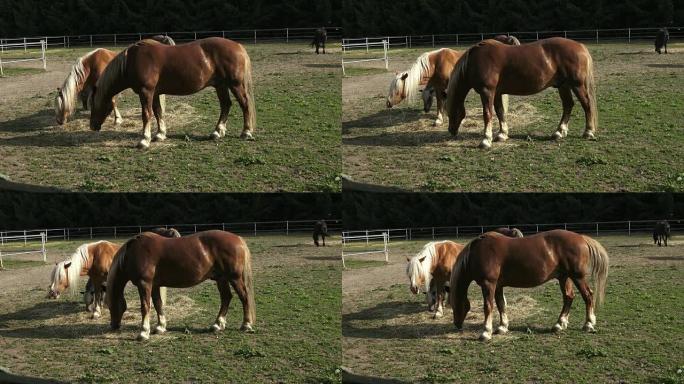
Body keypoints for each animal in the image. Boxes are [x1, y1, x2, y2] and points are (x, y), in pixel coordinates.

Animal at [88, 36, 254, 148]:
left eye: (94, 104)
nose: (92, 126)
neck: (132, 61)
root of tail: (238, 46)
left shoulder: (146, 91)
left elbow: (146, 114)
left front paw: (144, 140)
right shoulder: (154, 93)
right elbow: (157, 112)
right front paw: (160, 134)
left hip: (235, 85)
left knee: (244, 104)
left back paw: (246, 132)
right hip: (220, 85)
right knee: (226, 105)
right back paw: (217, 132)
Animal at [105, 230, 255, 340]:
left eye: (111, 305)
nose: (113, 325)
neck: (133, 253)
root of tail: (238, 239)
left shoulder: (144, 283)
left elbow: (145, 306)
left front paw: (143, 332)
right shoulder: (154, 285)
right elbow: (158, 304)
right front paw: (160, 327)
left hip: (234, 278)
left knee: (244, 297)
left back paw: (246, 324)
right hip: (221, 279)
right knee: (226, 298)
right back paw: (217, 325)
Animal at [444, 37, 600, 148]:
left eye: (452, 111)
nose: (451, 131)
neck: (475, 61)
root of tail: (580, 46)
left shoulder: (487, 91)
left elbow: (487, 114)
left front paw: (486, 140)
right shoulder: (497, 93)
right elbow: (500, 112)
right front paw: (502, 135)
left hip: (577, 85)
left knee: (586, 105)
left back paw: (588, 132)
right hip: (563, 86)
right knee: (568, 105)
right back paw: (559, 132)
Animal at [452, 230, 608, 340]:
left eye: (455, 305)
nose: (457, 325)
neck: (478, 252)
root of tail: (581, 237)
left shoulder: (488, 284)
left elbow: (488, 306)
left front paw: (486, 332)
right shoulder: (498, 286)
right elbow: (501, 304)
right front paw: (502, 327)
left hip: (577, 277)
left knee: (588, 296)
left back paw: (588, 324)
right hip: (564, 277)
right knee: (569, 297)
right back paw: (559, 324)